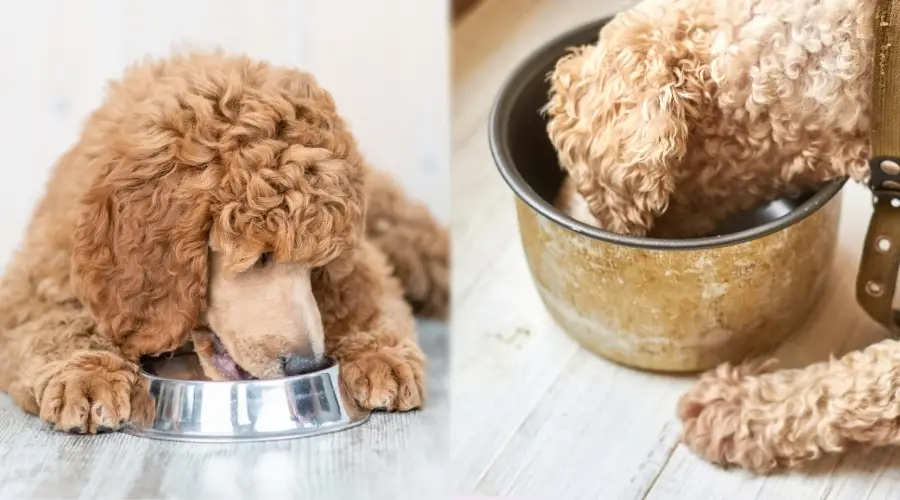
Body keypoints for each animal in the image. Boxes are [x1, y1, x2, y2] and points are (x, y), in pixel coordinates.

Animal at [0, 49, 448, 434]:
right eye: (259, 256)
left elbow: (365, 300)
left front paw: (381, 355)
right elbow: (57, 321)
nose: (306, 365)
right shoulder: (42, 273)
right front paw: (87, 375)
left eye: (317, 265)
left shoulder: (365, 259)